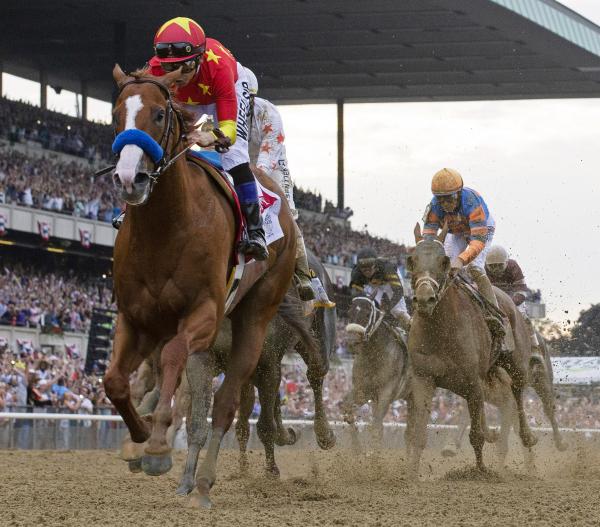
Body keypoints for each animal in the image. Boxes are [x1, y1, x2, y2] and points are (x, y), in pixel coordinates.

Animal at [106, 64, 298, 510]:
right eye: (116, 113)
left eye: (160, 114)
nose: (129, 178)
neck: (166, 228)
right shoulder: (135, 319)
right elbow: (115, 382)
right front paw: (139, 438)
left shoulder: (204, 314)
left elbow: (174, 358)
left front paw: (158, 447)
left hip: (256, 319)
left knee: (227, 405)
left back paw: (205, 485)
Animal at [342, 294, 408, 448]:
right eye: (349, 313)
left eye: (367, 314)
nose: (351, 342)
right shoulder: (362, 390)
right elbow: (347, 409)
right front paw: (357, 448)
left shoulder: (386, 393)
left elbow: (376, 427)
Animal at [406, 225, 536, 476]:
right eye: (411, 260)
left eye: (445, 261)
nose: (425, 299)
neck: (440, 329)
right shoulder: (422, 377)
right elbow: (418, 434)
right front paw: (411, 474)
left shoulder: (473, 380)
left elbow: (476, 435)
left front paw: (481, 471)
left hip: (516, 365)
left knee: (517, 393)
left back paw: (527, 436)